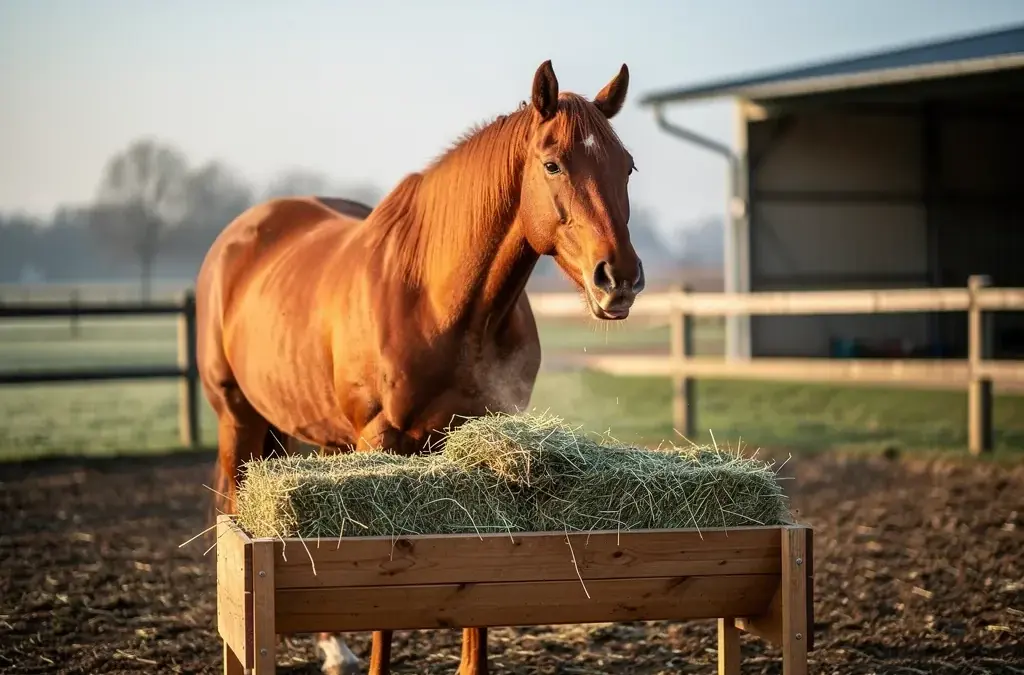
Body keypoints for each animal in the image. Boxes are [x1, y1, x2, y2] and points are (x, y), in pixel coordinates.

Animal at [196, 59, 643, 675]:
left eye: (627, 166)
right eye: (552, 163)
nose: (618, 278)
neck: (440, 300)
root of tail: (240, 237)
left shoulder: (481, 436)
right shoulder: (382, 440)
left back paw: (334, 648)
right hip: (237, 417)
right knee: (233, 508)